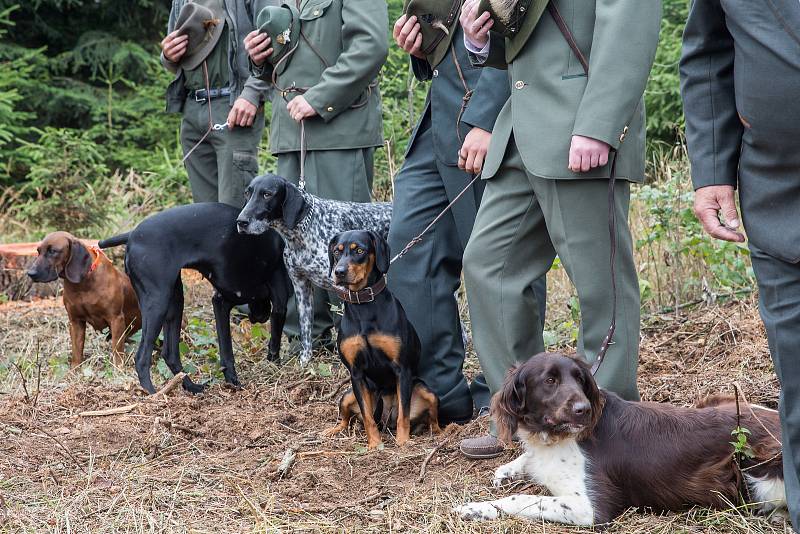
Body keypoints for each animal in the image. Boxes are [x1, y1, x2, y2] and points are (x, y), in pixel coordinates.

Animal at [27, 232, 141, 370]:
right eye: (38, 251)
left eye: (53, 251)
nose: (30, 273)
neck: (83, 285)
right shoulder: (76, 321)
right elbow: (77, 350)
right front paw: (74, 370)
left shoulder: (116, 319)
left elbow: (117, 349)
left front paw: (118, 369)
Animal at [97, 203, 290, 396]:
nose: (259, 317)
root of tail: (132, 235)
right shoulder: (275, 304)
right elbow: (273, 340)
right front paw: (273, 366)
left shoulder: (220, 303)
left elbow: (226, 351)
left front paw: (232, 381)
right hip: (158, 303)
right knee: (142, 357)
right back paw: (153, 392)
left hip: (175, 302)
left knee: (170, 354)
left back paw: (190, 386)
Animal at [234, 176, 390, 368]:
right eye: (247, 193)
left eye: (267, 194)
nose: (241, 222)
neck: (301, 234)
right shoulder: (302, 288)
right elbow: (306, 331)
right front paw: (305, 363)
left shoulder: (343, 289)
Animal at [322, 231, 440, 452]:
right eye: (336, 252)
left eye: (360, 250)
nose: (339, 272)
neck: (363, 306)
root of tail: (387, 420)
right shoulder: (356, 374)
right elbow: (367, 416)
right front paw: (374, 444)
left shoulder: (402, 369)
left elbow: (404, 413)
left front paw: (403, 442)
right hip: (347, 396)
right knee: (346, 419)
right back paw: (333, 430)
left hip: (426, 391)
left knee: (432, 419)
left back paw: (444, 432)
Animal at [456, 354, 788, 524]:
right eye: (550, 380)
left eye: (580, 379)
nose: (583, 409)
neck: (558, 438)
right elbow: (526, 460)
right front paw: (505, 471)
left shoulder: (590, 508)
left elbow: (522, 498)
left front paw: (475, 508)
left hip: (755, 470)